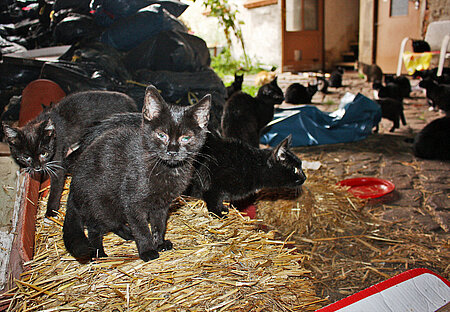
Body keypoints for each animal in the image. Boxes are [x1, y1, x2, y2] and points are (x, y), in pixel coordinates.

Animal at [2, 90, 137, 217]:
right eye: (26, 157)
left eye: (44, 153)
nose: (37, 167)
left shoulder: (58, 158)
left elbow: (56, 187)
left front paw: (51, 212)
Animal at [62, 85, 211, 264]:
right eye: (162, 135)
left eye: (186, 138)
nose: (172, 151)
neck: (166, 169)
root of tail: (73, 186)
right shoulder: (132, 202)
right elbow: (141, 228)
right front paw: (148, 250)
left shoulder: (161, 204)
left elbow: (159, 224)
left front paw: (159, 243)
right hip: (101, 205)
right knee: (95, 227)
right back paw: (99, 252)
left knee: (114, 223)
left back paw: (127, 234)